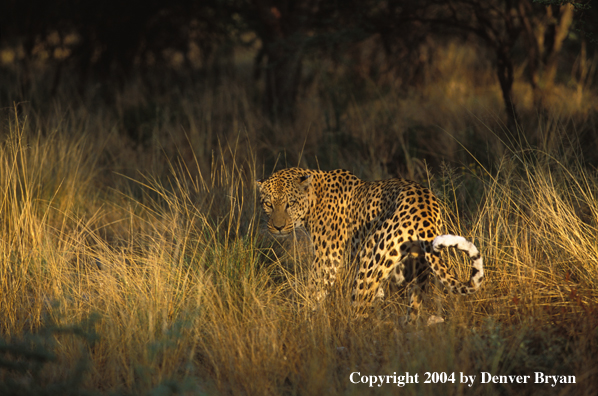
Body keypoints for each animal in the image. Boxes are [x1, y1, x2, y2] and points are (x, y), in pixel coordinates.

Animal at [255, 167, 486, 322]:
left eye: (290, 204)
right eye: (268, 204)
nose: (277, 227)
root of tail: (425, 212)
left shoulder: (326, 259)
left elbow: (313, 291)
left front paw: (301, 321)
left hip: (370, 262)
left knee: (359, 311)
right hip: (417, 271)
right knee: (411, 311)